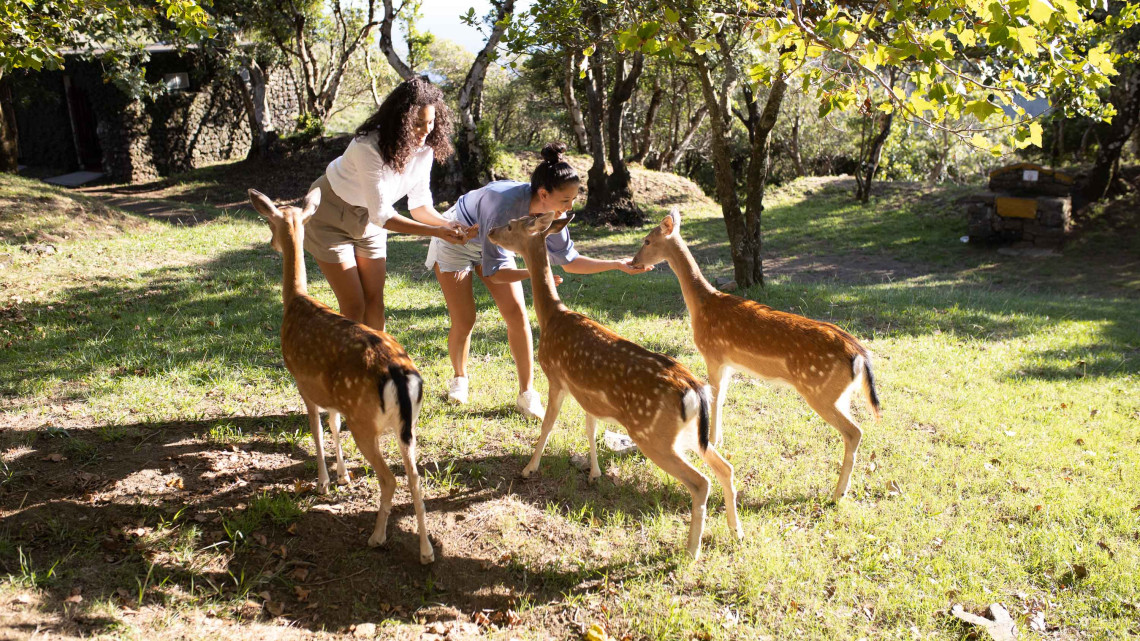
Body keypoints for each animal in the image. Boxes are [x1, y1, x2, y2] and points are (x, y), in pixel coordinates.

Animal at [247, 188, 434, 564]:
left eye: (270, 221)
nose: (272, 243)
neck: (296, 302)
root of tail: (399, 374)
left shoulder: (302, 383)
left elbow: (317, 431)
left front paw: (323, 483)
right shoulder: (333, 397)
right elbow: (333, 426)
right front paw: (343, 475)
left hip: (364, 420)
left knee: (390, 479)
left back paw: (376, 537)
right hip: (408, 425)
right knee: (415, 477)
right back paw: (426, 551)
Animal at [487, 211, 741, 559]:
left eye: (512, 224)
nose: (490, 231)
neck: (552, 317)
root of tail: (694, 390)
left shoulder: (556, 377)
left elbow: (548, 425)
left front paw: (529, 468)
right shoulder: (588, 395)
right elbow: (590, 428)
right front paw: (595, 473)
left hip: (653, 435)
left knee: (701, 482)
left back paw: (692, 550)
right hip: (689, 435)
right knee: (725, 468)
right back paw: (736, 532)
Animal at [631, 208, 881, 502]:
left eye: (647, 240)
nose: (634, 262)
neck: (702, 306)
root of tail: (860, 355)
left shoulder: (712, 353)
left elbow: (715, 396)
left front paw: (712, 441)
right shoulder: (729, 362)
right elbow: (722, 398)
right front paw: (719, 439)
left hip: (819, 391)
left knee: (854, 432)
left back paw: (837, 493)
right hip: (840, 394)